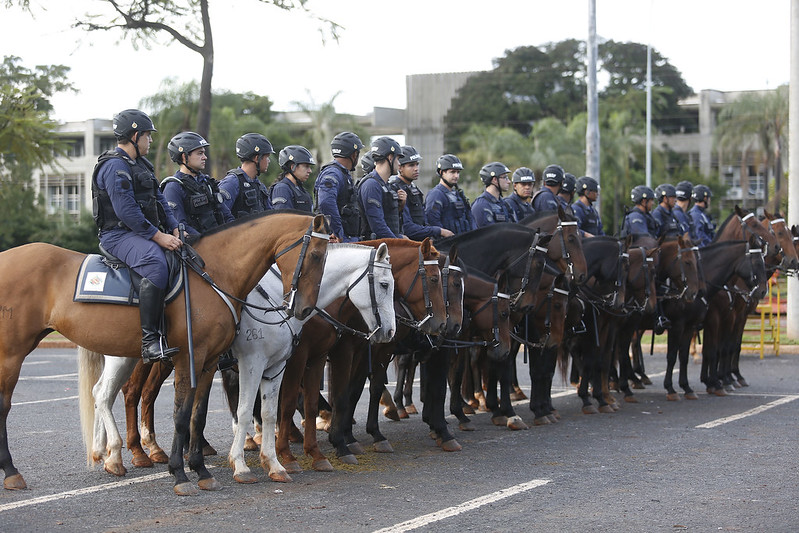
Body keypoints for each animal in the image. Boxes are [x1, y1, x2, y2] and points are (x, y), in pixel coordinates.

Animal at [0, 210, 328, 492]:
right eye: (315, 255)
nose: (303, 309)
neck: (213, 275)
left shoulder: (210, 363)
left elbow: (199, 415)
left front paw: (201, 470)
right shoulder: (195, 359)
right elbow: (183, 414)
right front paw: (180, 473)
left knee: (103, 394)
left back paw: (111, 457)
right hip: (12, 354)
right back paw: (14, 472)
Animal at [78, 243, 396, 480]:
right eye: (384, 284)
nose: (390, 331)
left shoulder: (282, 364)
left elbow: (272, 410)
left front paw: (277, 460)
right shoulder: (254, 363)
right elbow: (249, 409)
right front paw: (243, 463)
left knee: (102, 393)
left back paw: (105, 453)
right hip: (127, 357)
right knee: (113, 394)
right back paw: (127, 454)